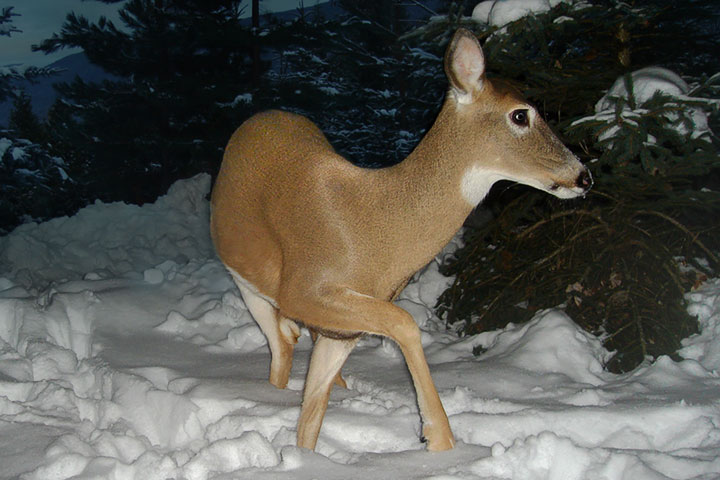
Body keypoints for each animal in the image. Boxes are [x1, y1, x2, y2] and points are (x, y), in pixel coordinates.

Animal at [211, 28, 592, 452]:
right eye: (521, 114)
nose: (584, 176)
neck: (377, 229)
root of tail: (260, 118)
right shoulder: (305, 288)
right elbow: (406, 322)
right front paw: (438, 436)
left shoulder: (344, 330)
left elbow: (310, 421)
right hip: (249, 284)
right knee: (281, 347)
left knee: (292, 344)